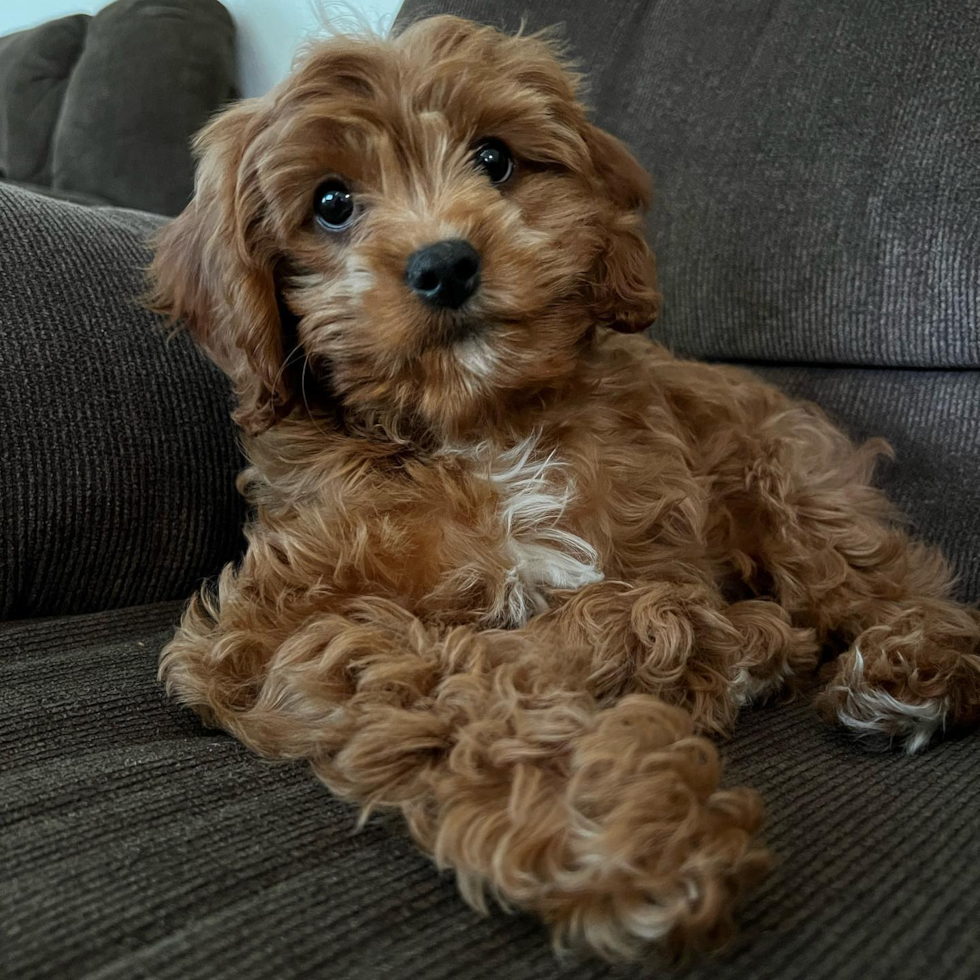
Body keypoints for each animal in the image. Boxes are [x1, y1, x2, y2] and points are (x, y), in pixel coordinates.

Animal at [145, 15, 980, 960]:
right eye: (331, 203)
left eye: (496, 158)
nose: (445, 264)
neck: (481, 426)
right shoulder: (262, 633)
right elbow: (451, 678)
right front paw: (623, 828)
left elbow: (597, 620)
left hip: (785, 473)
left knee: (879, 578)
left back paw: (911, 664)